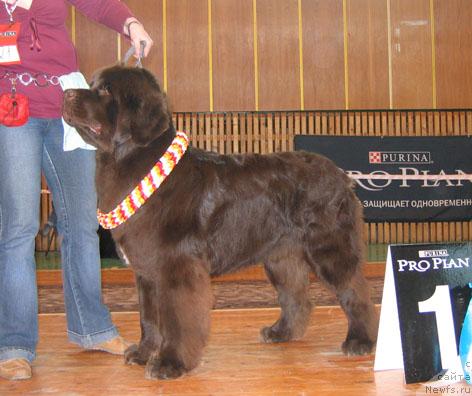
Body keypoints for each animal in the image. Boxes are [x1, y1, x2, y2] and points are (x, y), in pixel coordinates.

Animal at [62, 65, 378, 380]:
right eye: (91, 84)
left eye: (105, 90)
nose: (66, 94)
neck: (132, 161)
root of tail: (341, 175)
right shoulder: (147, 272)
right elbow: (149, 317)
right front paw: (142, 353)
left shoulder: (176, 266)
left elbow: (176, 319)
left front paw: (170, 363)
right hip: (281, 256)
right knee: (296, 296)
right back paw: (281, 333)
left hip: (329, 248)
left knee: (355, 291)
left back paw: (360, 342)